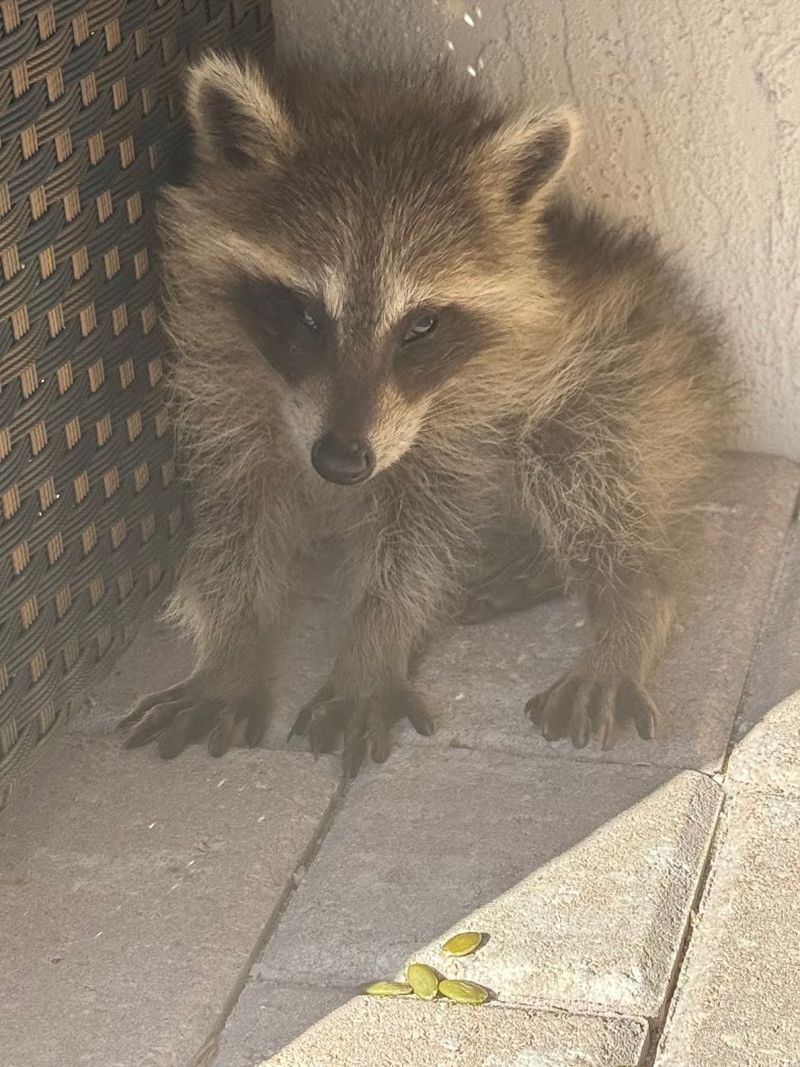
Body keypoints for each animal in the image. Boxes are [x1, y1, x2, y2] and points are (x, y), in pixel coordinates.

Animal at [119, 54, 730, 774]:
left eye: (421, 326)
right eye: (305, 314)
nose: (341, 462)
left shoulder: (458, 423)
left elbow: (419, 544)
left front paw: (374, 645)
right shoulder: (221, 387)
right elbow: (232, 521)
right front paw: (231, 645)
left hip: (625, 374)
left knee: (588, 467)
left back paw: (631, 601)